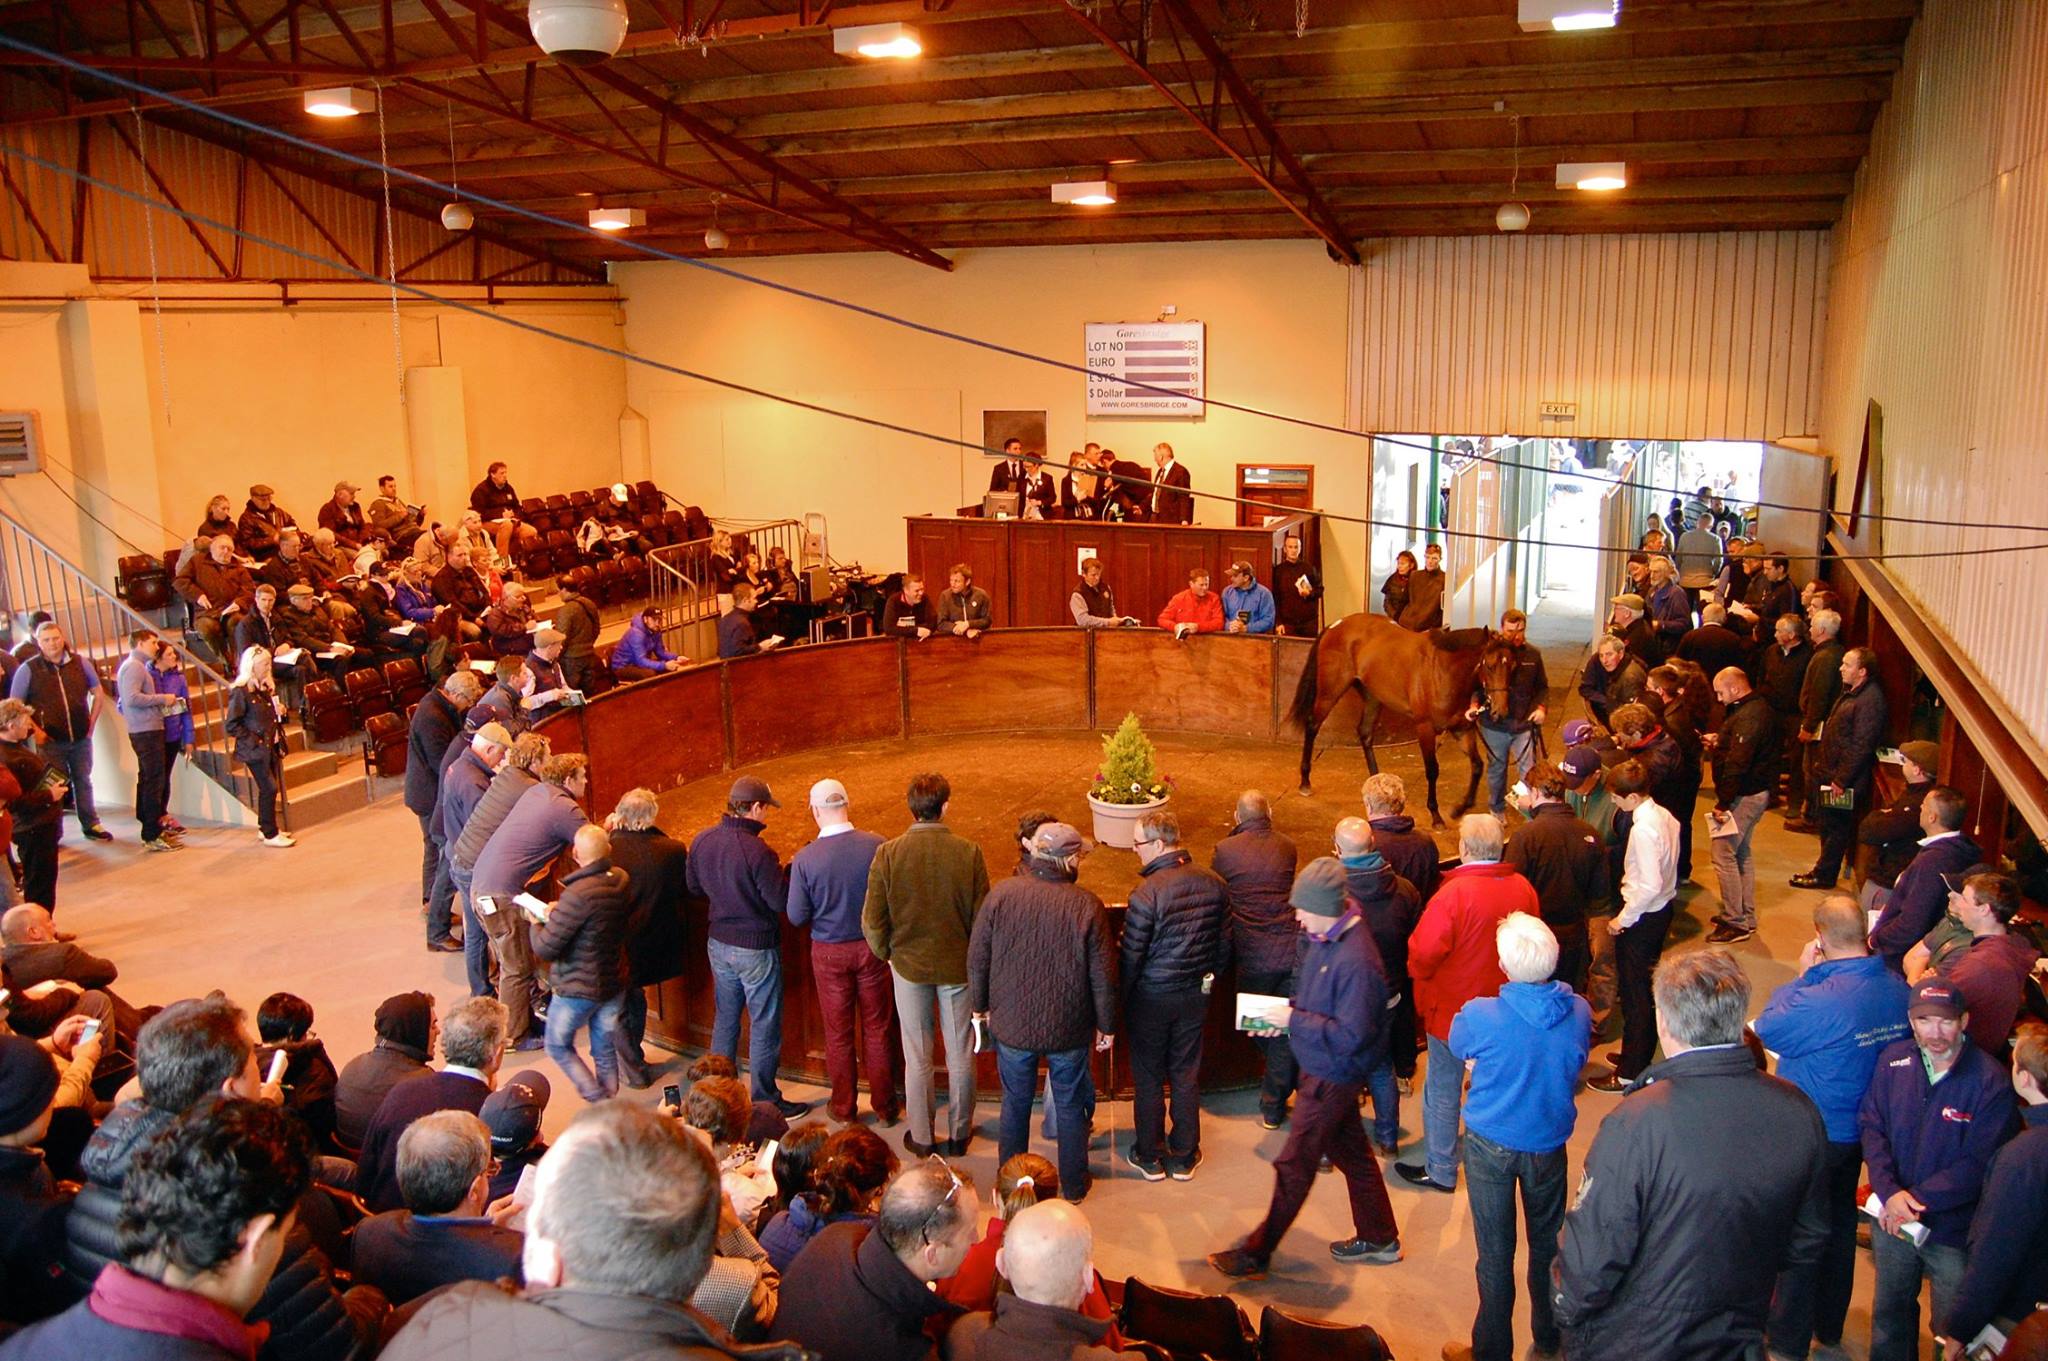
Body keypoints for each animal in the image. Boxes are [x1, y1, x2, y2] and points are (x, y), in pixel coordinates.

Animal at [1286, 609, 1515, 822]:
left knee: (1365, 733)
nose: (1500, 710)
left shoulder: (1462, 728)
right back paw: (1305, 782)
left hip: (1372, 697)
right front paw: (1435, 815)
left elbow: (1477, 766)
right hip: (1331, 690)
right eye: (1489, 665)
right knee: (1312, 726)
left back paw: (1377, 781)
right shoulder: (1425, 728)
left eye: (1512, 666)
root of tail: (1335, 625)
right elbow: (1432, 769)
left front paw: (1460, 808)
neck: (1443, 670)